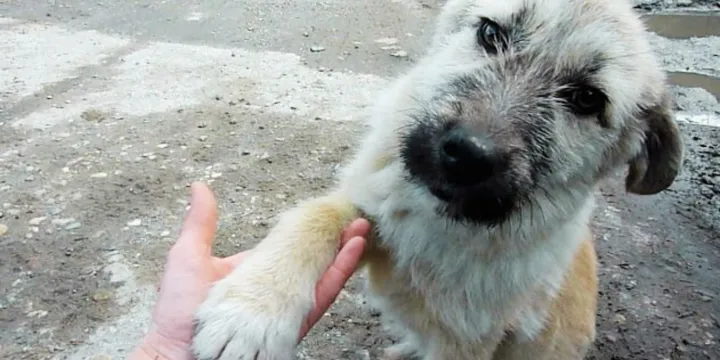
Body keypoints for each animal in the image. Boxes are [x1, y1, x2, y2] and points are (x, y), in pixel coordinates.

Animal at [190, 0, 680, 358]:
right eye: (490, 34)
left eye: (586, 99)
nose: (467, 155)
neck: (443, 224)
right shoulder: (373, 208)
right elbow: (313, 216)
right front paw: (251, 311)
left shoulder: (466, 344)